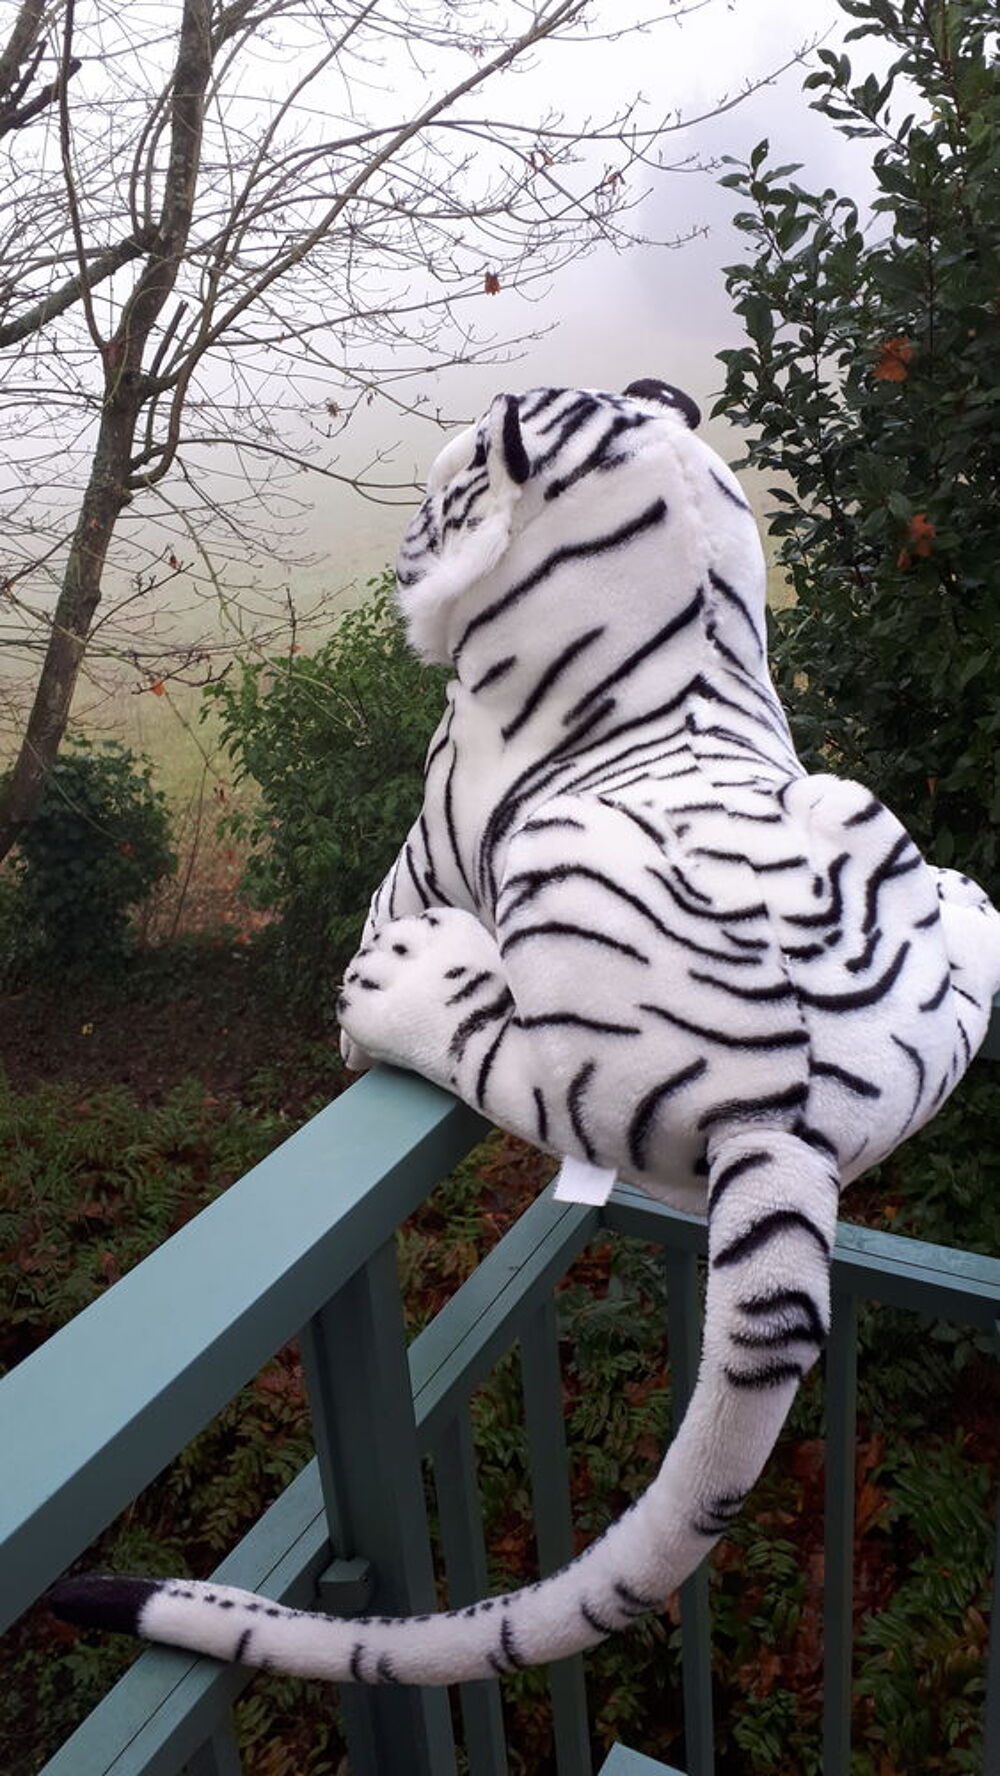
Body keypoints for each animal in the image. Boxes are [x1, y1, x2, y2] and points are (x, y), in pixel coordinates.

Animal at [50, 379, 1000, 1690]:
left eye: (440, 489)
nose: (402, 550)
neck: (696, 599)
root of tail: (787, 1136)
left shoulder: (436, 822)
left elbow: (385, 900)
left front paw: (349, 1033)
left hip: (556, 888)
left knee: (507, 1063)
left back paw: (401, 990)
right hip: (853, 816)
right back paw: (971, 900)